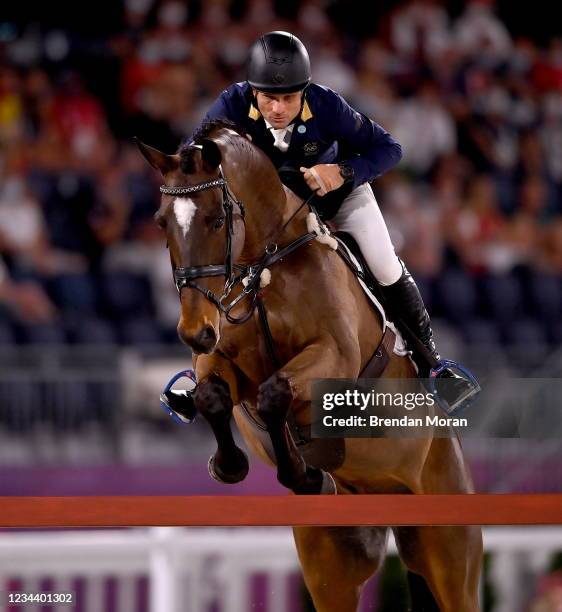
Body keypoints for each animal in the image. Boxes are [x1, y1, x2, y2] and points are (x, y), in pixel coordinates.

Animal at [137, 120, 482, 612]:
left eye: (217, 220)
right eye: (162, 222)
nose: (194, 331)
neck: (261, 266)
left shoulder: (333, 356)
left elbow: (274, 394)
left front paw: (301, 472)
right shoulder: (218, 359)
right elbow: (213, 396)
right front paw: (231, 466)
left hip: (449, 551)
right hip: (332, 564)